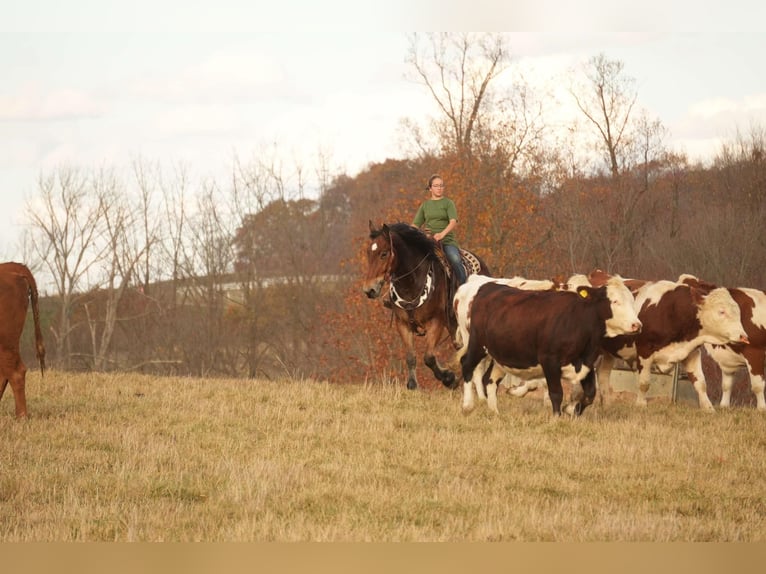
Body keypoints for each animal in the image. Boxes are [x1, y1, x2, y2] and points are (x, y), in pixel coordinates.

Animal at [364, 220, 492, 392]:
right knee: (461, 348)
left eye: (384, 253)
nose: (369, 289)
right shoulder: (402, 323)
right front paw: (412, 384)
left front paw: (448, 378)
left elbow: (429, 358)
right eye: (368, 253)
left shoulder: (436, 322)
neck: (412, 283)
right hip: (454, 325)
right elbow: (410, 357)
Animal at [460, 276, 644, 416]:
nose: (637, 325)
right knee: (467, 365)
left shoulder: (587, 363)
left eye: (631, 301)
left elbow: (590, 393)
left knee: (489, 379)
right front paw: (557, 417)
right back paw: (468, 405)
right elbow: (556, 393)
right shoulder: (550, 361)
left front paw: (572, 410)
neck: (578, 321)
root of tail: (489, 287)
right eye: (615, 301)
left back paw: (494, 412)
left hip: (500, 356)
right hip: (477, 344)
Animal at [600, 278, 752, 410]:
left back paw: (606, 403)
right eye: (721, 311)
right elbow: (644, 382)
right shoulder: (644, 351)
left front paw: (708, 408)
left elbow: (701, 383)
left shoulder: (691, 352)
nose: (743, 336)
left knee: (603, 375)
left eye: (738, 312)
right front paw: (641, 405)